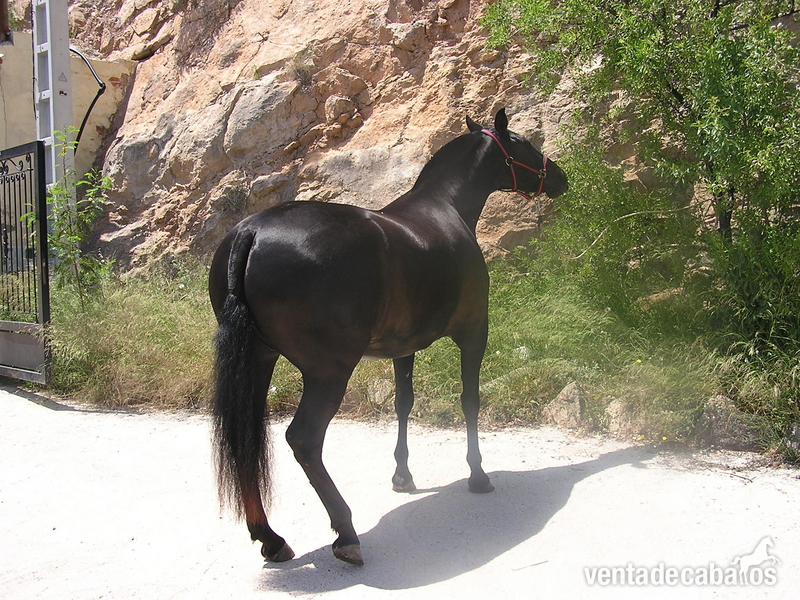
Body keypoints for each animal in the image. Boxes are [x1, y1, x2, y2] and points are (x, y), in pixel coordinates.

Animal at [208, 108, 568, 566]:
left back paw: (270, 537)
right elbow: (470, 401)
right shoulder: (474, 332)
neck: (446, 208)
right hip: (328, 372)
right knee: (303, 440)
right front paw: (478, 473)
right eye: (524, 143)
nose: (560, 177)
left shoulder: (403, 347)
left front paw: (402, 475)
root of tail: (249, 233)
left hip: (258, 360)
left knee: (246, 441)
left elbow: (403, 403)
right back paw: (345, 532)